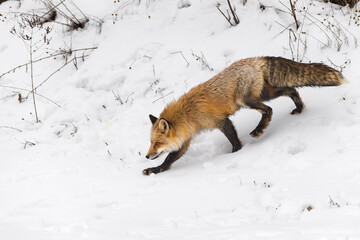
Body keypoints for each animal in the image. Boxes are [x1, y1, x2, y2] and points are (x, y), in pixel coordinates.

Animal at [142, 57, 348, 175]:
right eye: (151, 143)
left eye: (157, 143)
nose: (147, 155)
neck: (187, 114)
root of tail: (254, 59)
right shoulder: (187, 138)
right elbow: (169, 160)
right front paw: (155, 170)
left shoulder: (221, 121)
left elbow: (234, 140)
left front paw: (235, 155)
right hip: (266, 93)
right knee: (291, 90)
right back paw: (299, 108)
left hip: (245, 100)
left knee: (268, 110)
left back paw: (259, 130)